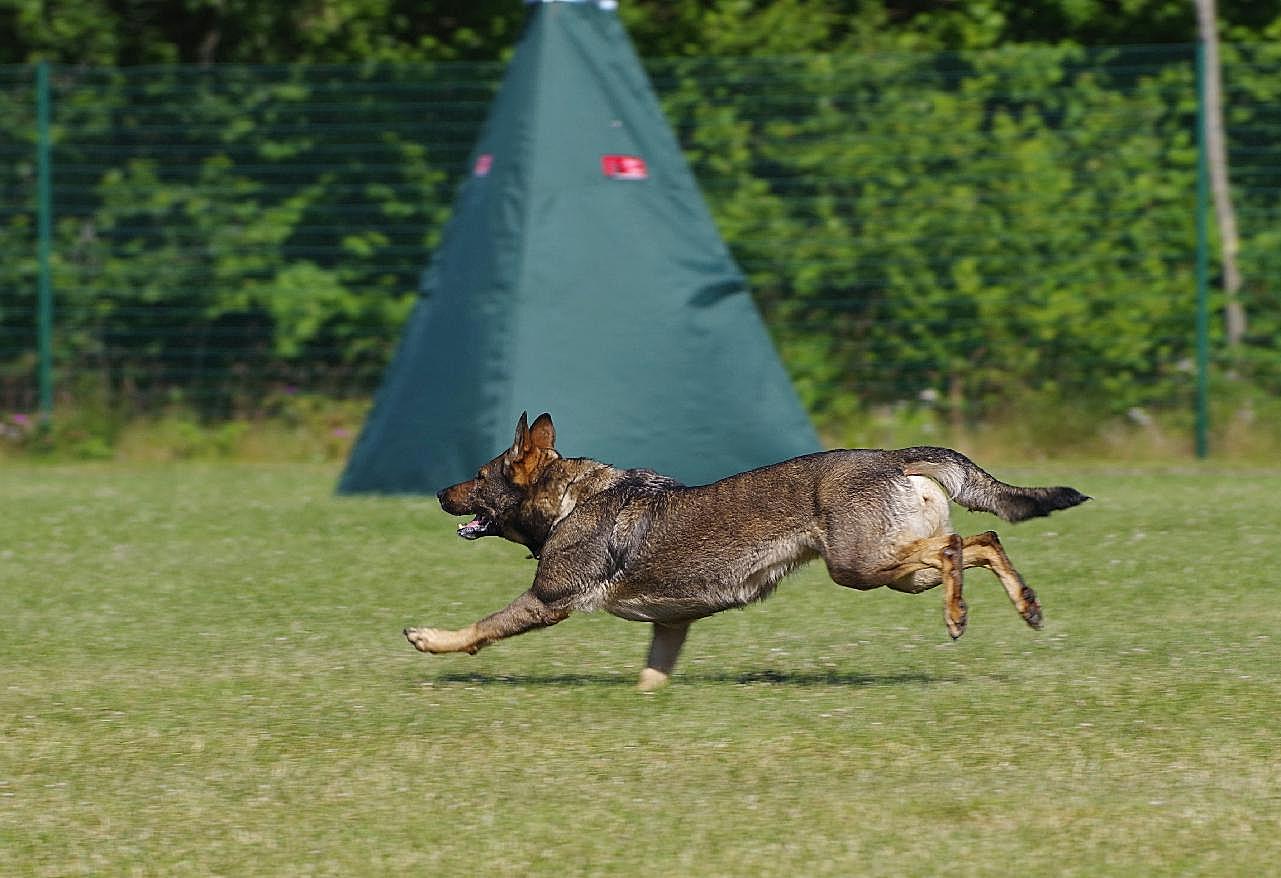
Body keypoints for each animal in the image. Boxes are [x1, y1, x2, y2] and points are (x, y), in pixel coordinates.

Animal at [404, 415, 1086, 687]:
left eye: (479, 476)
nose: (437, 492)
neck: (571, 500)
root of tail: (896, 457)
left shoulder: (549, 599)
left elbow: (479, 628)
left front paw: (431, 640)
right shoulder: (671, 623)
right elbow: (652, 674)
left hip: (860, 567)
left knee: (954, 546)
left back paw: (958, 615)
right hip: (891, 569)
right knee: (983, 540)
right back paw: (1027, 606)